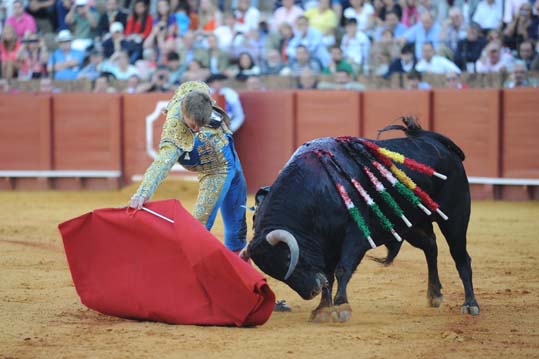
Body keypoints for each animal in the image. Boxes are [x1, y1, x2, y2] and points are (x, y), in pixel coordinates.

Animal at [243, 120, 478, 324]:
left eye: (287, 259)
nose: (311, 291)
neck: (316, 191)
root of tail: (438, 143)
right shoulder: (325, 244)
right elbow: (329, 275)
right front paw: (322, 309)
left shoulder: (356, 236)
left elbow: (342, 269)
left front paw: (342, 307)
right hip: (410, 223)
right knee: (430, 247)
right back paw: (434, 294)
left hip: (455, 217)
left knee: (460, 257)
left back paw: (470, 304)